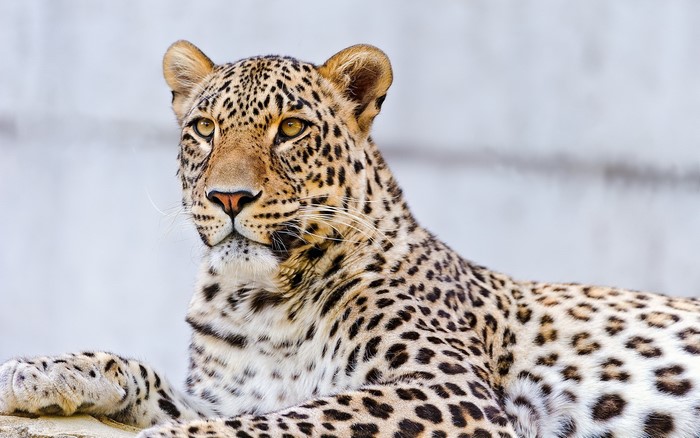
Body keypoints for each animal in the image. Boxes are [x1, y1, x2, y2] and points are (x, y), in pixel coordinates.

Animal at [1, 40, 700, 438]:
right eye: (203, 128)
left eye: (289, 129)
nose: (228, 197)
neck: (258, 302)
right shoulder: (228, 396)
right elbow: (143, 373)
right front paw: (38, 371)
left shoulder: (445, 390)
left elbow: (287, 423)